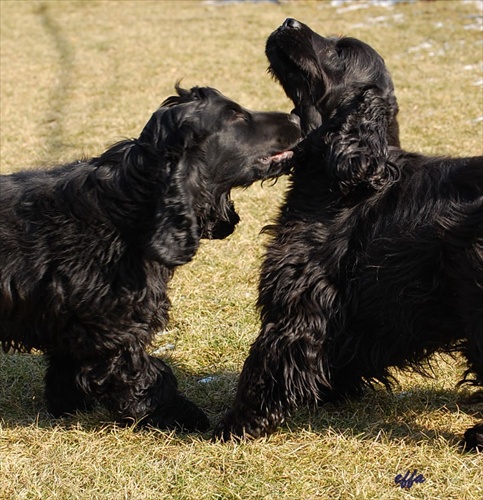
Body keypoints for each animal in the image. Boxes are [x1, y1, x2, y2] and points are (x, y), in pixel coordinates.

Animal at [0, 85, 302, 430]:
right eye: (235, 116)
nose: (296, 117)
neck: (130, 206)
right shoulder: (115, 327)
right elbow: (146, 377)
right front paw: (185, 417)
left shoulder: (69, 316)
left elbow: (65, 364)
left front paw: (68, 406)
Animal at [216, 19, 483, 452]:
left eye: (339, 51)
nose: (288, 22)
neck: (343, 182)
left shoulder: (300, 299)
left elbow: (270, 359)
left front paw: (238, 423)